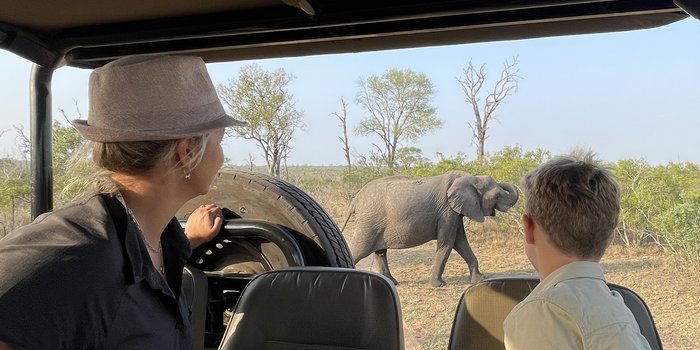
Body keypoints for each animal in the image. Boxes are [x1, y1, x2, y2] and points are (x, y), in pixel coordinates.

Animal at [342, 170, 516, 288]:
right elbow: (448, 242)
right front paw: (438, 285)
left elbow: (460, 241)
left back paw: (393, 282)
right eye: (497, 196)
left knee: (379, 252)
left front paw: (480, 280)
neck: (469, 178)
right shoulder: (447, 211)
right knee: (360, 249)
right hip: (369, 222)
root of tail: (355, 200)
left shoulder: (455, 211)